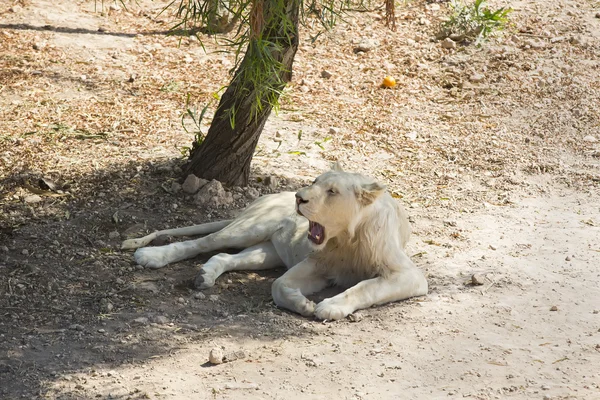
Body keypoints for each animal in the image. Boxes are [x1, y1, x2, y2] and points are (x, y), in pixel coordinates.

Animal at [122, 164, 428, 320]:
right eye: (314, 180)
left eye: (332, 191)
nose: (299, 197)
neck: (345, 239)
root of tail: (264, 197)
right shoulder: (316, 264)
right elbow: (278, 285)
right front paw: (304, 305)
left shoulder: (409, 275)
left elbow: (366, 287)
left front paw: (329, 306)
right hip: (250, 228)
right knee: (204, 243)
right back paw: (151, 256)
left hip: (268, 253)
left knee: (223, 257)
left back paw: (205, 276)